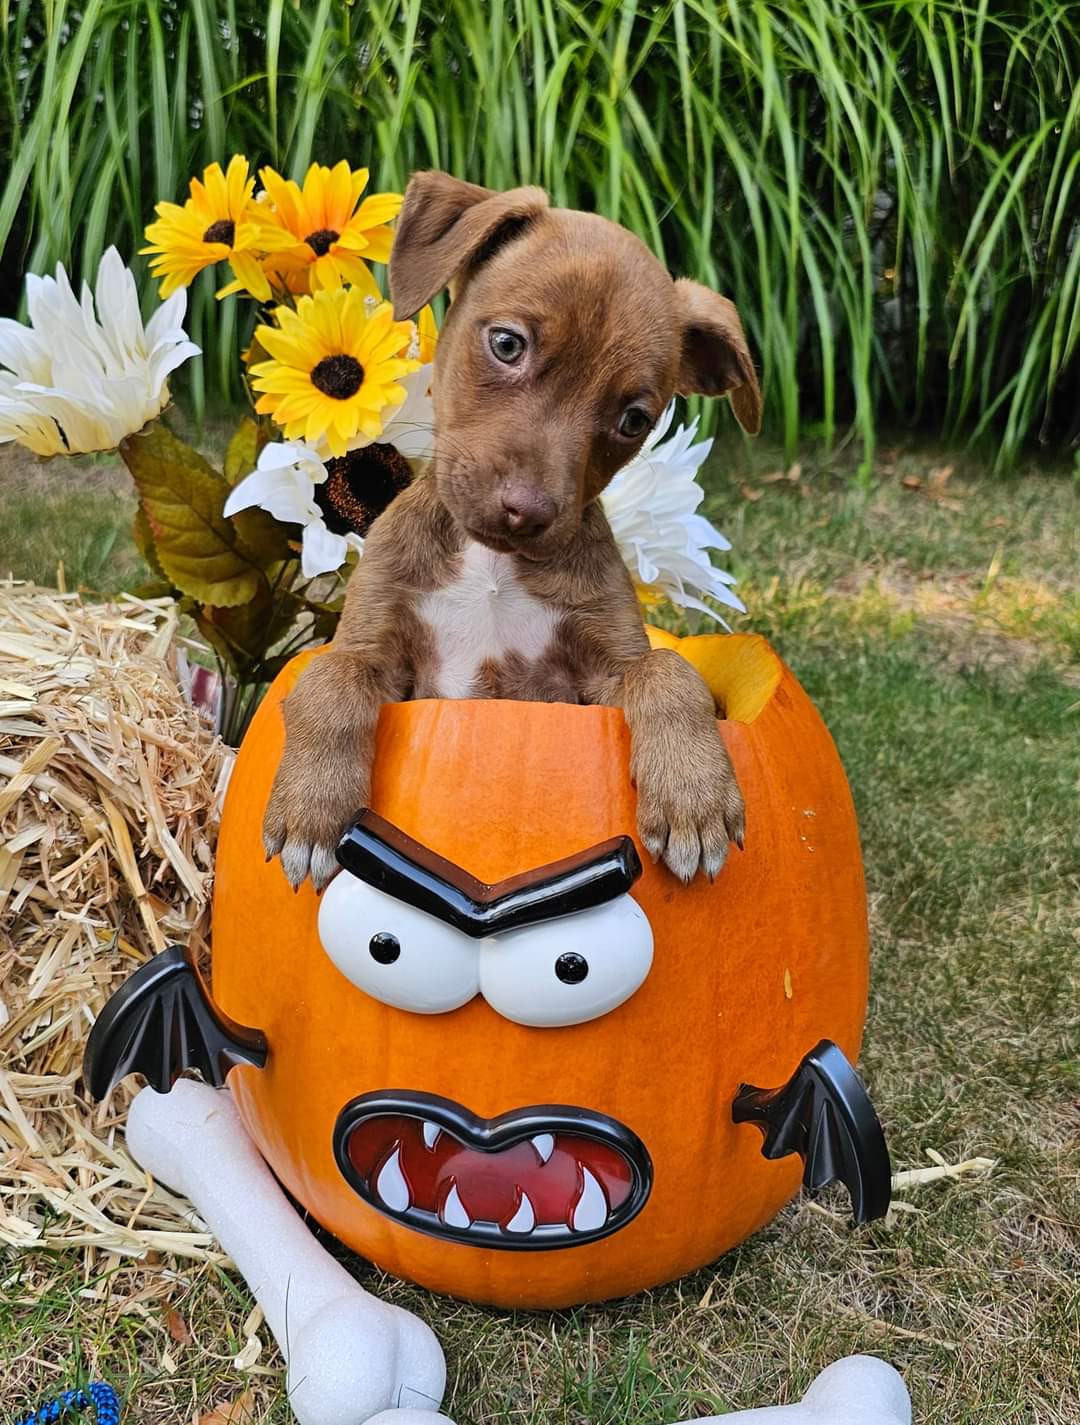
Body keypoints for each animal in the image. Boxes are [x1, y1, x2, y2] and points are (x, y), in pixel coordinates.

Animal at [266, 172, 763, 883]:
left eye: (634, 419)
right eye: (507, 344)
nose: (525, 511)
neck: (491, 566)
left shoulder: (598, 676)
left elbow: (667, 668)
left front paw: (694, 792)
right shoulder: (375, 648)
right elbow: (328, 680)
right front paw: (311, 805)